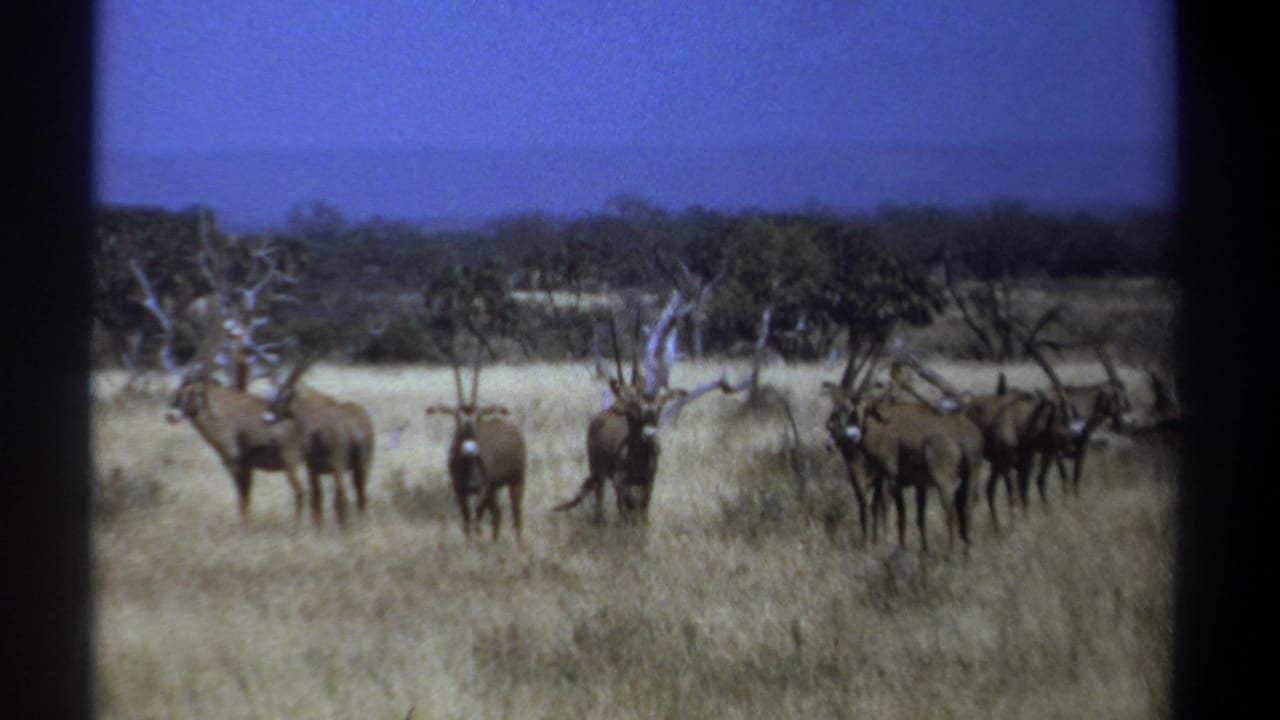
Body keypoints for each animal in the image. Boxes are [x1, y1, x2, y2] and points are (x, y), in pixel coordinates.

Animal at [263, 358, 375, 528]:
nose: (267, 416)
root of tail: (353, 428)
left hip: (338, 467)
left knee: (341, 499)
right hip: (361, 467)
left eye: (281, 395)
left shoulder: (311, 468)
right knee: (360, 496)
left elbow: (316, 500)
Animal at [426, 349, 527, 545]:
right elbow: (467, 522)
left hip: (516, 481)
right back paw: (495, 542)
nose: (470, 448)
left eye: (479, 417)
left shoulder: (482, 490)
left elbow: (477, 521)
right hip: (495, 489)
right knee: (498, 514)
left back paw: (518, 545)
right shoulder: (460, 491)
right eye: (457, 418)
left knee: (516, 514)